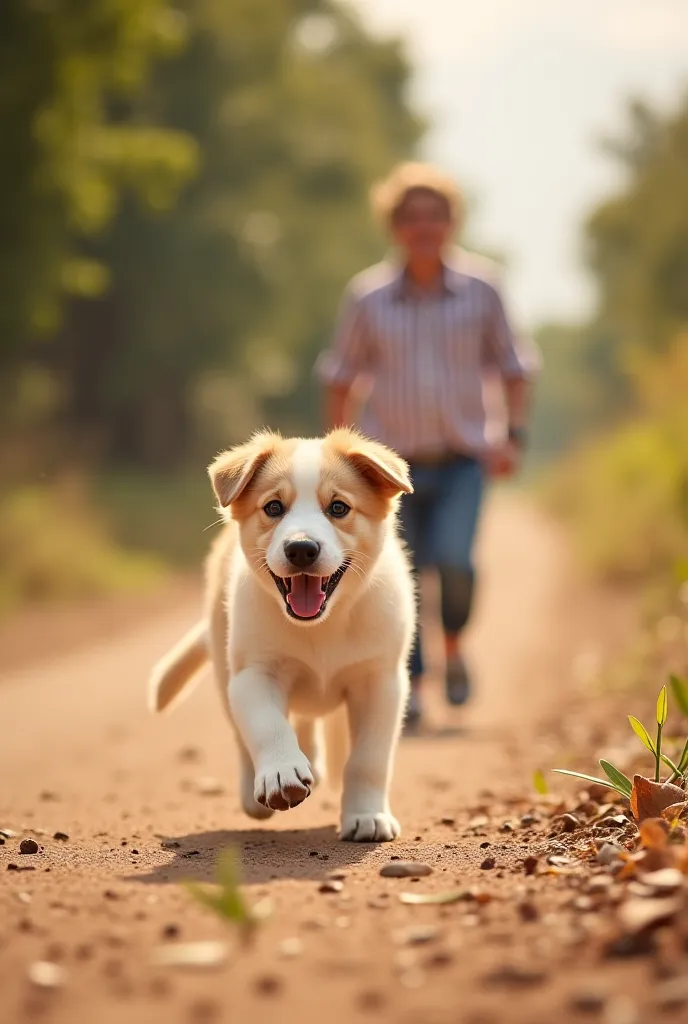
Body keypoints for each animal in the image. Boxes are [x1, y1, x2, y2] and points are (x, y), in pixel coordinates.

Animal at [149, 428, 413, 843]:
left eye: (339, 508)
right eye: (273, 508)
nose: (301, 549)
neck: (321, 626)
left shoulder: (381, 680)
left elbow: (368, 758)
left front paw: (366, 815)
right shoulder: (254, 673)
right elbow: (267, 726)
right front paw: (280, 774)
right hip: (225, 666)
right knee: (243, 734)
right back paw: (255, 791)